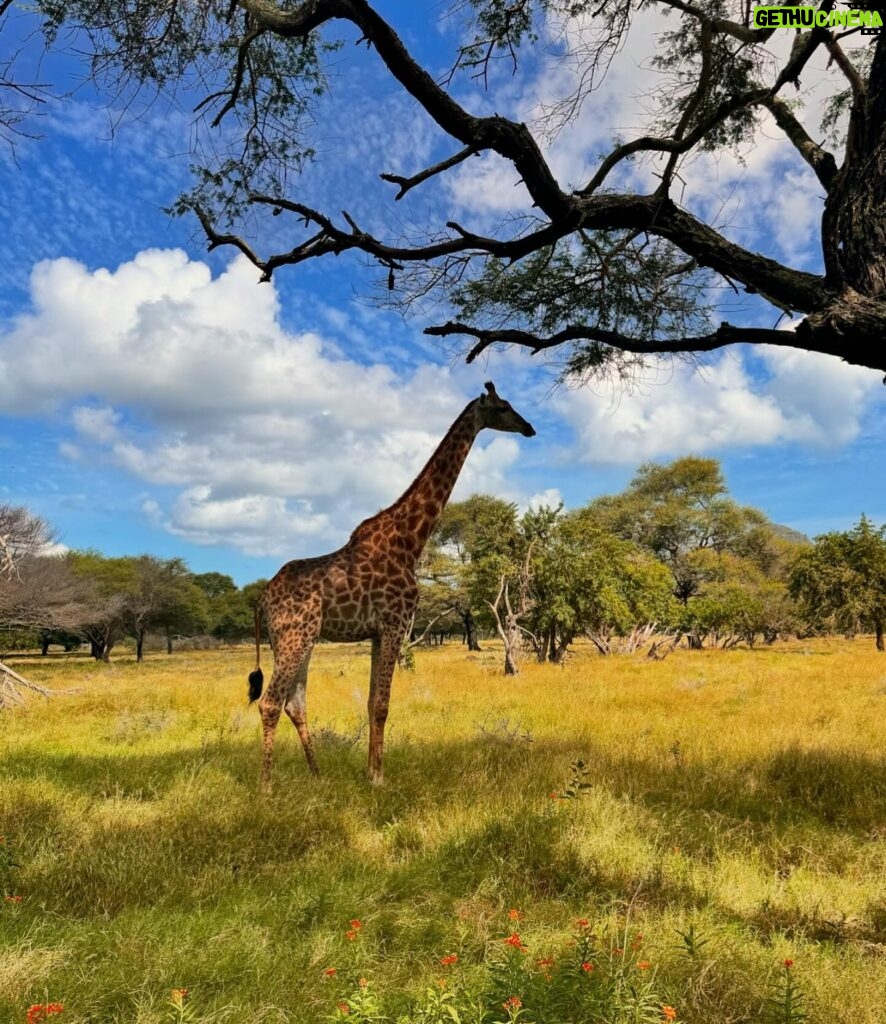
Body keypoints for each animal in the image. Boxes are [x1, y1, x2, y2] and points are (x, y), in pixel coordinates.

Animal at [250, 380, 540, 786]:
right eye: (502, 407)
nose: (529, 428)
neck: (410, 540)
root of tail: (263, 598)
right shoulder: (395, 623)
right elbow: (383, 704)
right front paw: (379, 779)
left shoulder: (378, 631)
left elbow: (373, 701)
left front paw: (371, 771)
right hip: (294, 636)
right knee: (271, 702)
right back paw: (266, 787)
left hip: (296, 639)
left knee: (295, 701)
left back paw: (317, 774)